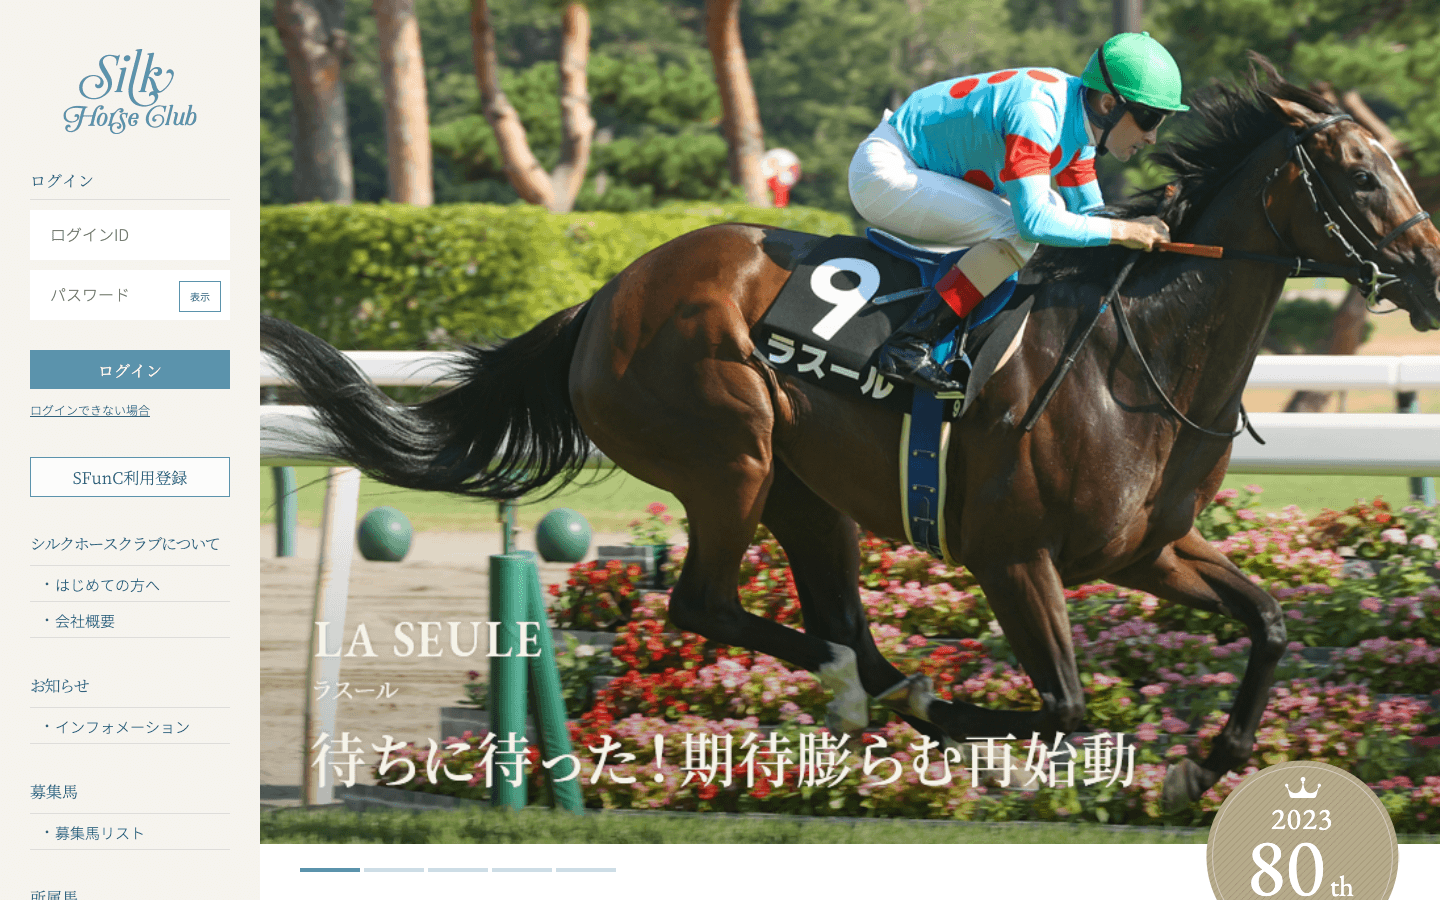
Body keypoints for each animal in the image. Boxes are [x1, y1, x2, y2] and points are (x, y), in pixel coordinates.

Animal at [262, 62, 1440, 809]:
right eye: (1363, 175)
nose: (1430, 273)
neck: (1132, 354)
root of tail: (605, 296)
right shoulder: (1014, 555)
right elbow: (1061, 704)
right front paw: (1010, 755)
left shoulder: (1146, 550)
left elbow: (1272, 624)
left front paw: (1211, 759)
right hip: (727, 457)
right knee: (709, 606)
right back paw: (876, 686)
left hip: (805, 493)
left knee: (846, 627)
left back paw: (887, 685)